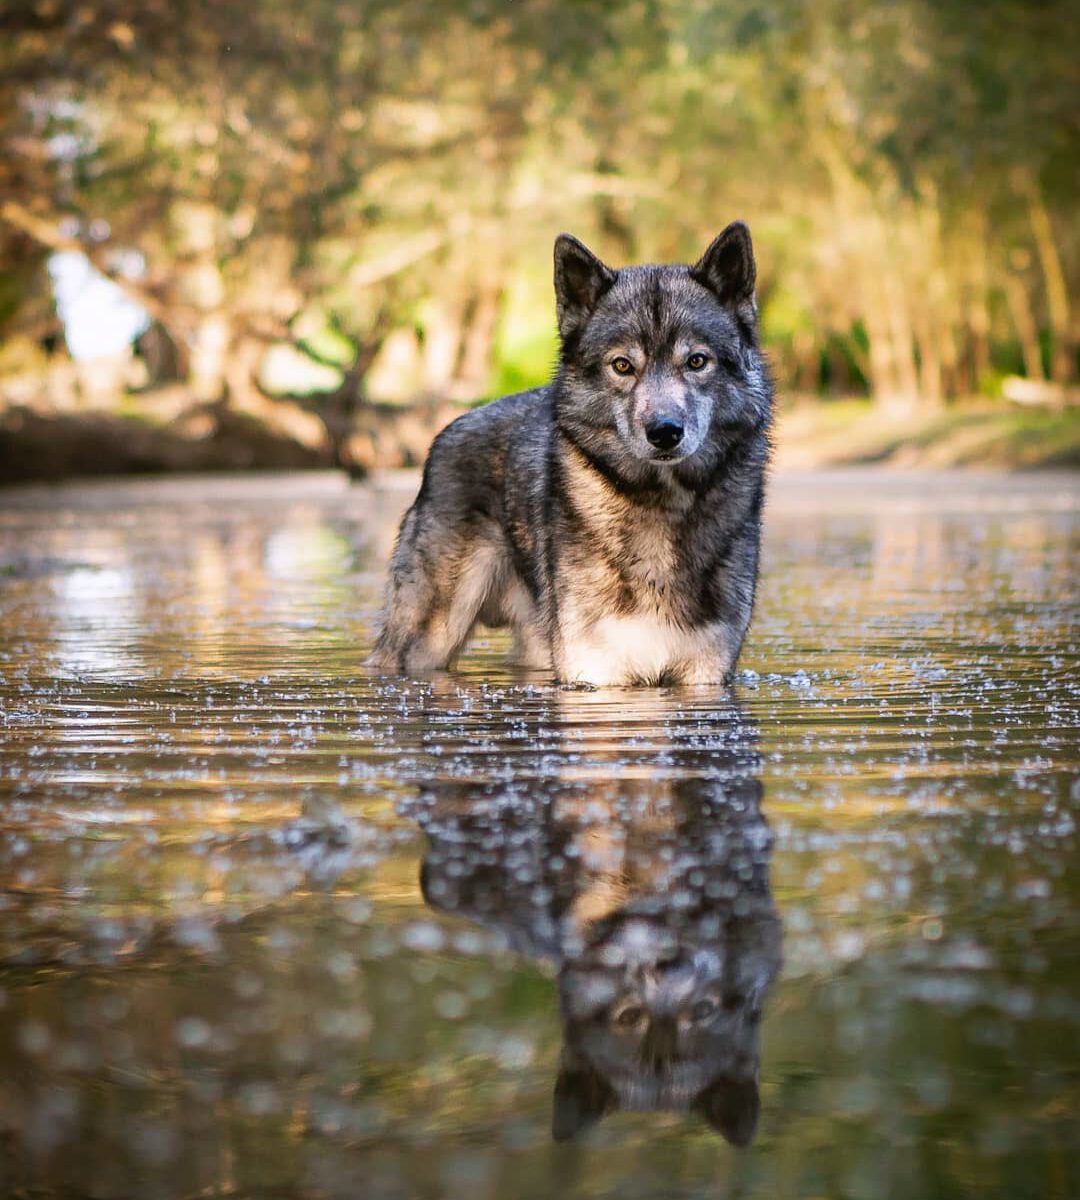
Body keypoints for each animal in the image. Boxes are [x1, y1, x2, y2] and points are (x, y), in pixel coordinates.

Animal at [367, 223, 772, 686]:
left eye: (697, 361)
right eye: (622, 366)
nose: (665, 432)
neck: (660, 505)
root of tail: (444, 434)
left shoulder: (705, 674)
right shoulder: (594, 673)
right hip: (425, 642)